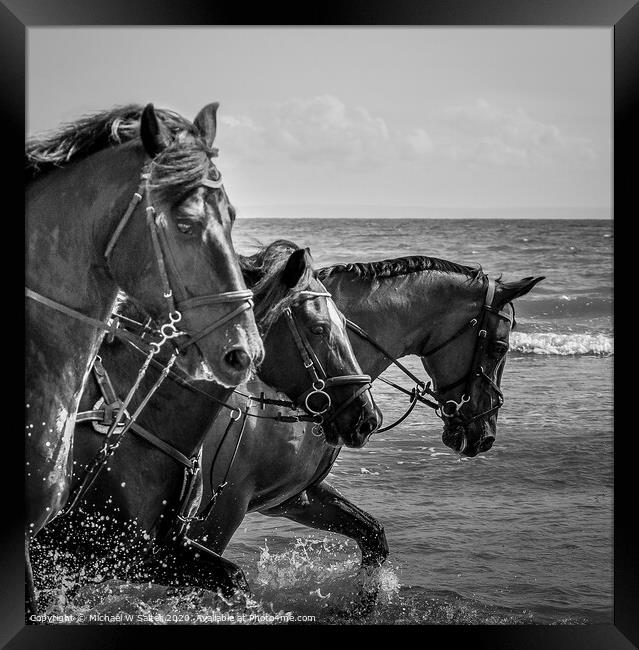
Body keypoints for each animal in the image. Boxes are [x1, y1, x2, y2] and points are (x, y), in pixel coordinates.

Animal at [186, 249, 544, 608]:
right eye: (499, 348)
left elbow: (373, 536)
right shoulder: (223, 511)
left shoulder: (293, 497)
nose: (485, 434)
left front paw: (362, 602)